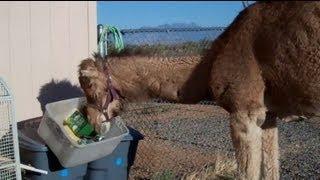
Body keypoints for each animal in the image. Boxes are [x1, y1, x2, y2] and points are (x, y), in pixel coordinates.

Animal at [77, 1, 320, 180]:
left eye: (89, 86)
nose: (92, 122)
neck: (211, 63)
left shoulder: (245, 113)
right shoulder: (268, 116)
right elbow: (271, 170)